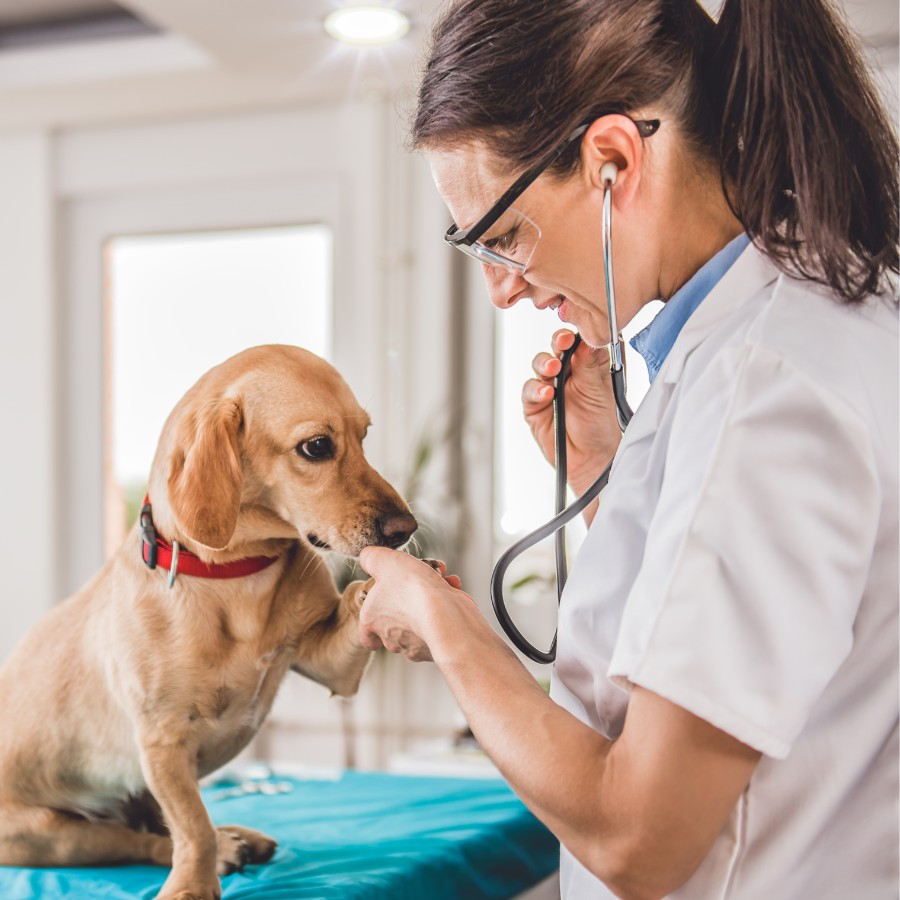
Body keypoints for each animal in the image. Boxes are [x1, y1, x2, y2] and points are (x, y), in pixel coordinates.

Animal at [0, 346, 418, 900]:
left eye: (365, 436)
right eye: (317, 446)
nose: (406, 529)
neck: (238, 575)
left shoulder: (331, 666)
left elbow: (353, 608)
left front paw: (395, 590)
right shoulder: (164, 743)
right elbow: (192, 827)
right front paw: (194, 885)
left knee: (154, 827)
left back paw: (236, 837)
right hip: (52, 835)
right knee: (140, 839)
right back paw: (222, 850)